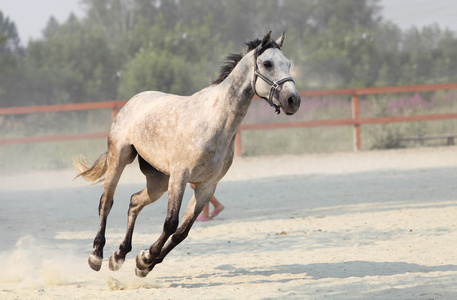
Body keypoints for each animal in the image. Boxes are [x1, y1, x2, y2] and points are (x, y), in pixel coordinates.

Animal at [75, 30, 302, 276]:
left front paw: (144, 263)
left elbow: (182, 232)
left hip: (158, 182)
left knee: (134, 202)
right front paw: (146, 258)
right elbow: (170, 223)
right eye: (267, 63)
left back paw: (118, 256)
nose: (293, 100)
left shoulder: (206, 186)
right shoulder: (180, 177)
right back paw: (97, 255)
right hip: (120, 158)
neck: (214, 123)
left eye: (288, 64)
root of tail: (132, 102)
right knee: (106, 202)